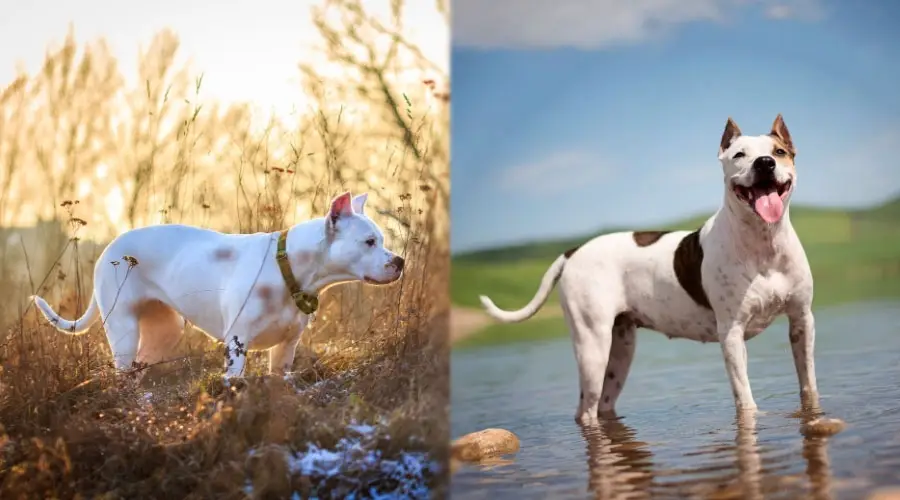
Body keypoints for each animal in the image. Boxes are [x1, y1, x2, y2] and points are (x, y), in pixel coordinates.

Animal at [30, 191, 404, 378]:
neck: (288, 270)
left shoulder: (286, 349)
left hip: (163, 330)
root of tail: (110, 247)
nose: (400, 261)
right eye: (369, 242)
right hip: (123, 329)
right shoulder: (237, 343)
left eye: (382, 240)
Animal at [482, 115, 820, 424]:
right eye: (739, 154)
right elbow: (745, 398)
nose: (764, 163)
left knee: (604, 404)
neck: (763, 243)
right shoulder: (732, 334)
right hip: (592, 346)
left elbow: (808, 382)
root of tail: (574, 251)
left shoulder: (801, 319)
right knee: (586, 410)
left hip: (620, 349)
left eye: (778, 151)